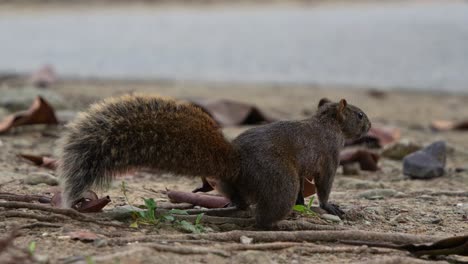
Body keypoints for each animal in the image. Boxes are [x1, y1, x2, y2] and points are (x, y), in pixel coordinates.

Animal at [58, 94, 372, 227]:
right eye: (359, 115)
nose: (369, 125)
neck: (327, 124)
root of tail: (235, 163)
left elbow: (303, 192)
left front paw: (303, 205)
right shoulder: (330, 156)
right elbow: (324, 187)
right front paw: (330, 206)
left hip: (231, 183)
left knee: (240, 203)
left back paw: (227, 210)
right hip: (279, 178)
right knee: (263, 215)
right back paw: (273, 223)